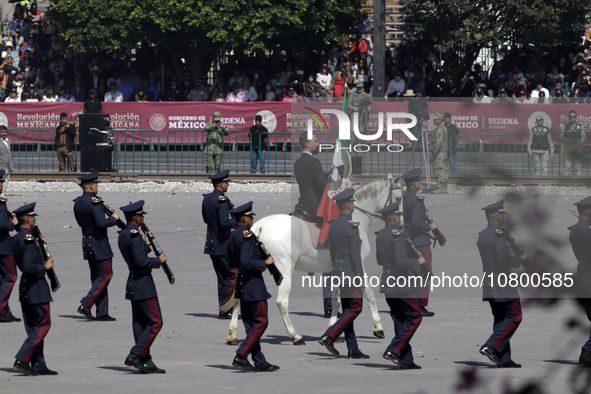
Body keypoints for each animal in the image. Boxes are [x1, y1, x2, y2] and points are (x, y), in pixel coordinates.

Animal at [224, 175, 404, 344]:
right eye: (399, 198)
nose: (401, 226)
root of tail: (259, 226)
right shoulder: (357, 266)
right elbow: (370, 295)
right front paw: (378, 327)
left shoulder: (336, 271)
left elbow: (335, 301)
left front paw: (333, 329)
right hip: (284, 272)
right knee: (282, 302)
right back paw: (295, 336)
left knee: (239, 297)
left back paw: (233, 334)